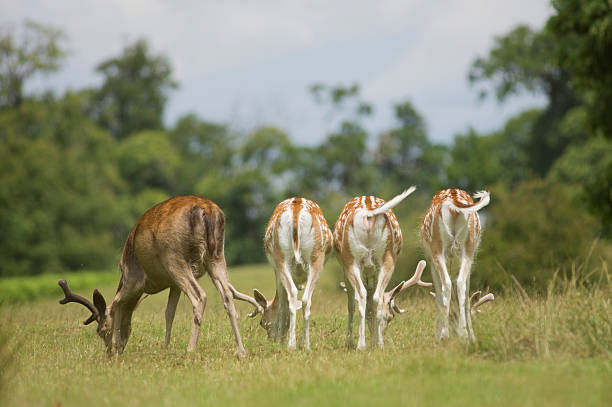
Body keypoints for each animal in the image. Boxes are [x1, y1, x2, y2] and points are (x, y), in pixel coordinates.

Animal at [58, 196, 266, 358]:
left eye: (101, 331)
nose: (109, 353)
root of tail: (206, 211)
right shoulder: (172, 284)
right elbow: (169, 313)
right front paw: (165, 348)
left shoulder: (133, 279)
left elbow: (117, 303)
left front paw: (117, 346)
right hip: (215, 255)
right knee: (227, 295)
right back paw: (241, 351)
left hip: (174, 257)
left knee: (200, 296)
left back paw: (190, 349)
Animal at [250, 198, 334, 350]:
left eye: (262, 323)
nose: (271, 340)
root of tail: (296, 210)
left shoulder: (276, 273)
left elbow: (284, 305)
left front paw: (282, 340)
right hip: (316, 258)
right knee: (305, 299)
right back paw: (302, 345)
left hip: (281, 258)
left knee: (294, 296)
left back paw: (294, 344)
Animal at [332, 188, 432, 350]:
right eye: (392, 316)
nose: (384, 335)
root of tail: (369, 215)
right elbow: (365, 306)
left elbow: (357, 305)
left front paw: (354, 342)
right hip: (383, 259)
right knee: (373, 297)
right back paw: (375, 344)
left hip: (352, 260)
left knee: (364, 295)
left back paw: (362, 345)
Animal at [420, 190, 492, 342]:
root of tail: (454, 201)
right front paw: (472, 336)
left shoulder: (430, 261)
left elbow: (439, 296)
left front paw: (437, 335)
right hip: (468, 247)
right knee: (460, 283)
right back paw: (463, 333)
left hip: (437, 247)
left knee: (446, 283)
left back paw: (444, 334)